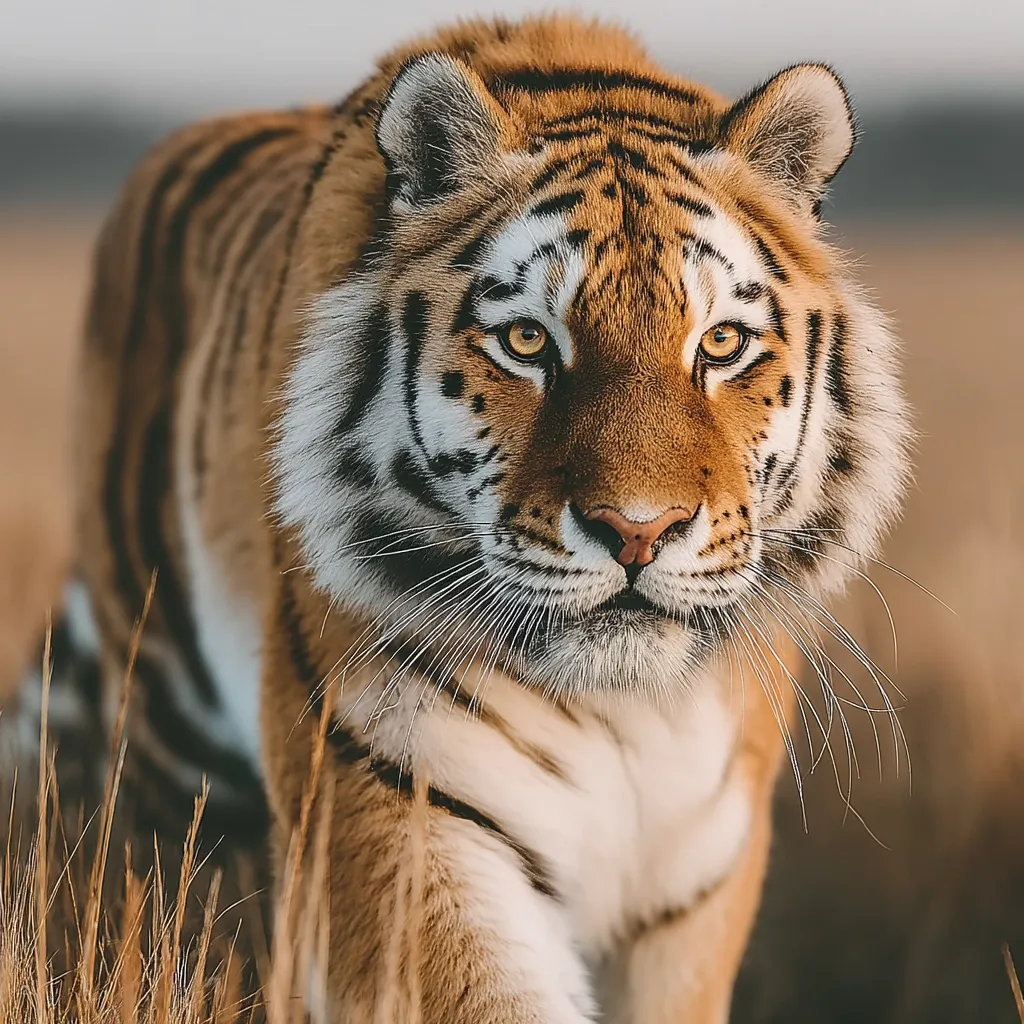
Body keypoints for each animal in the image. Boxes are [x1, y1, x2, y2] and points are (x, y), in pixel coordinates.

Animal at [12, 13, 911, 1023]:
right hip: (163, 739)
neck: (628, 711)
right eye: (527, 341)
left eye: (720, 344)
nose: (639, 532)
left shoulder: (698, 884)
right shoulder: (400, 810)